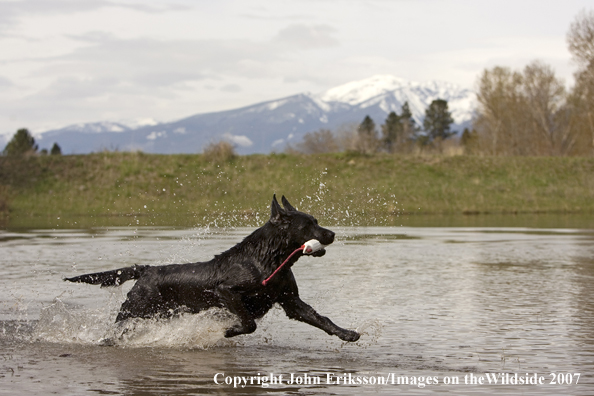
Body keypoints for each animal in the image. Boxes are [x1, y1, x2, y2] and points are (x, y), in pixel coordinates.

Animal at [67, 196, 358, 342]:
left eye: (316, 221)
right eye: (308, 224)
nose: (331, 234)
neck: (267, 260)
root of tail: (147, 270)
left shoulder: (291, 301)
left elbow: (322, 320)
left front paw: (347, 333)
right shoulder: (226, 291)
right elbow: (249, 323)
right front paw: (229, 331)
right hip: (133, 313)